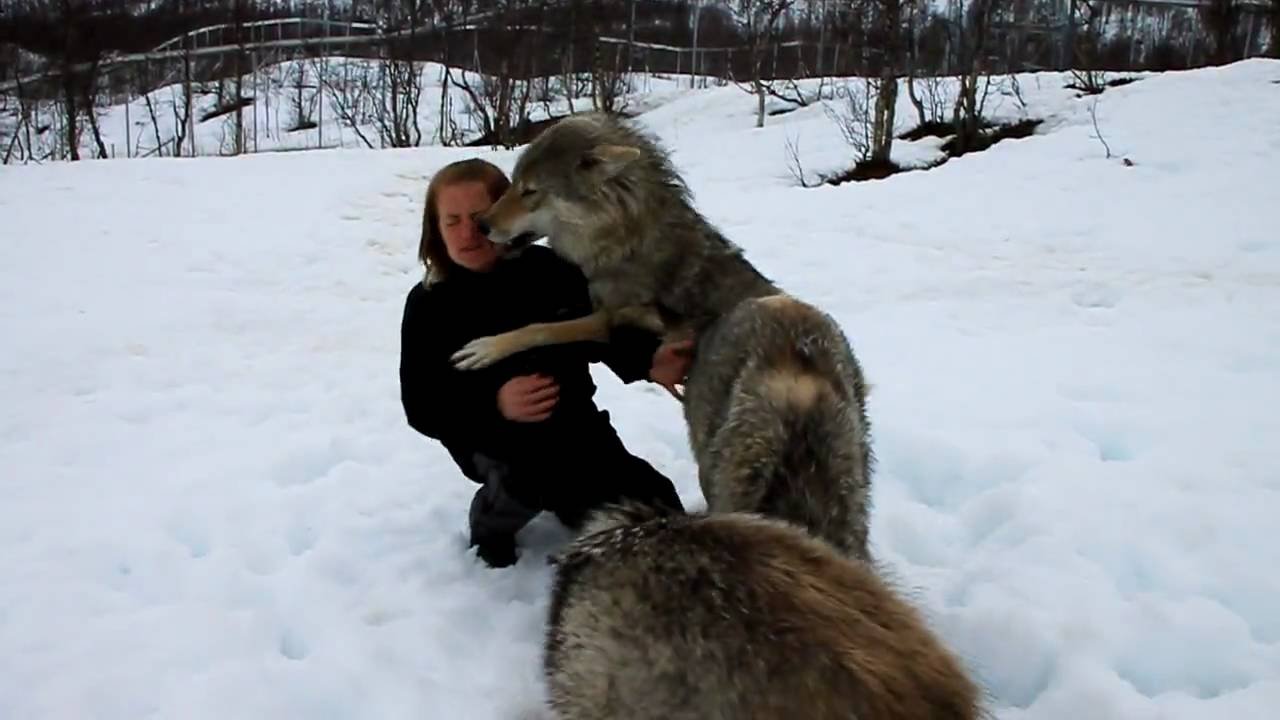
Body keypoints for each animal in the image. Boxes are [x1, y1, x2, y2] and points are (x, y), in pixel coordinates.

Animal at [450, 113, 880, 561]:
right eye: (512, 184)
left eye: (530, 191)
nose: (481, 224)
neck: (626, 239)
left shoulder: (610, 318)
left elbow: (541, 329)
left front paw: (484, 348)